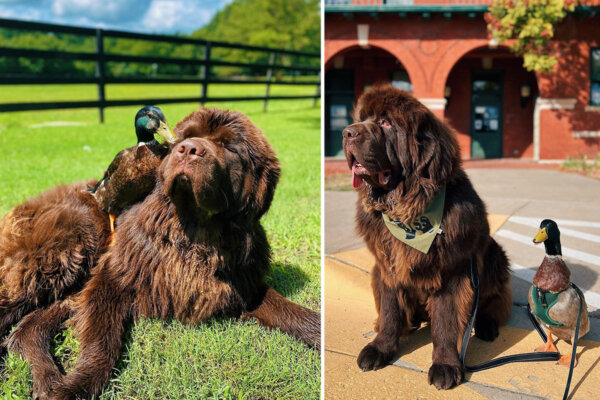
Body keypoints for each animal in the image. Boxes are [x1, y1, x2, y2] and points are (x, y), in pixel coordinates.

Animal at [3, 108, 318, 398]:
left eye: (230, 146)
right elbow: (103, 341)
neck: (193, 237)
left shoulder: (244, 285)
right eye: (185, 137)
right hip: (65, 250)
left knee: (27, 330)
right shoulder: (112, 278)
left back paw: (47, 380)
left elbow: (290, 311)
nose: (188, 148)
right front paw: (77, 386)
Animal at [344, 85, 512, 390]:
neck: (407, 207)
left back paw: (486, 324)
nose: (347, 132)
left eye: (386, 122)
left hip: (494, 255)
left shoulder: (452, 272)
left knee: (495, 300)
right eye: (361, 119)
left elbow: (446, 321)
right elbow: (389, 311)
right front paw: (382, 346)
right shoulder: (387, 266)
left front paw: (445, 365)